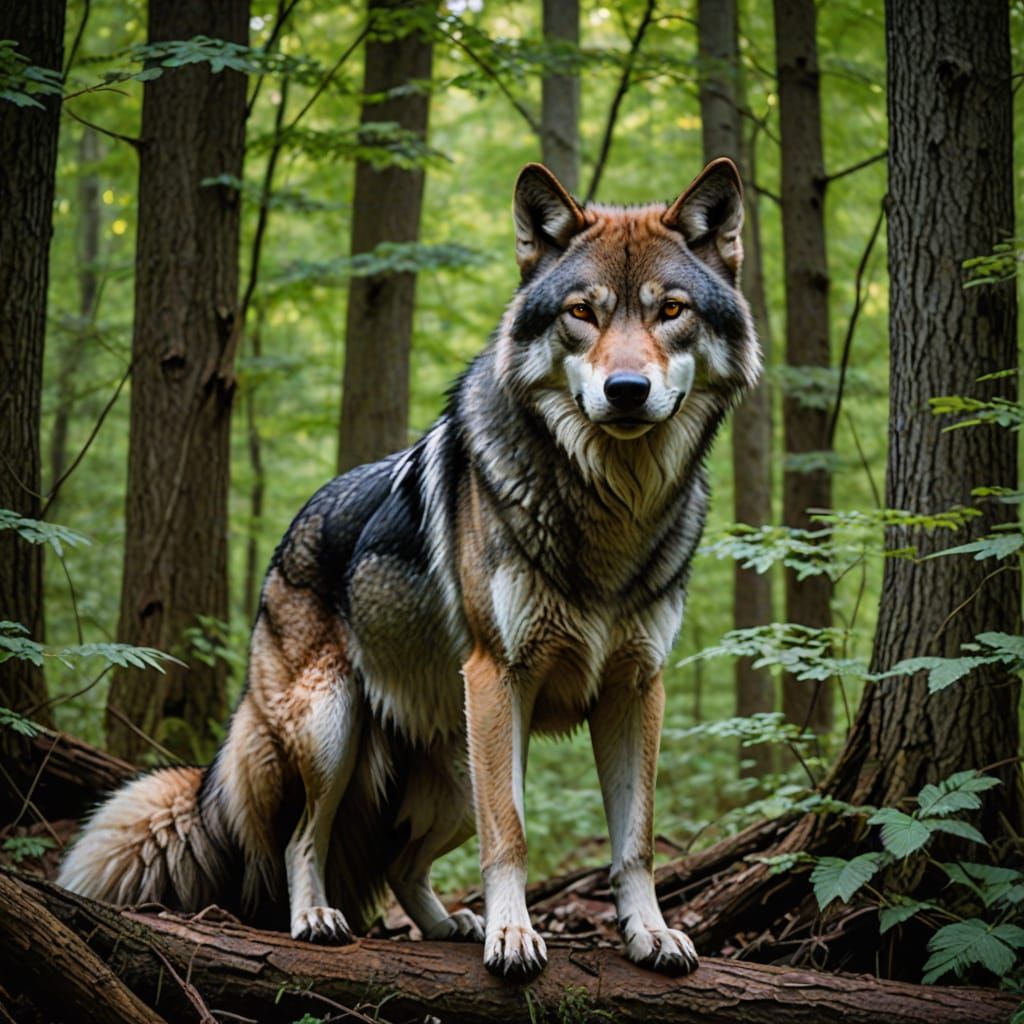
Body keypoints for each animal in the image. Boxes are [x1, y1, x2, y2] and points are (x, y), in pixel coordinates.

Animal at [59, 158, 759, 981]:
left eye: (670, 310)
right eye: (583, 313)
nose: (625, 391)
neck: (609, 508)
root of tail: (286, 542)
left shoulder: (636, 688)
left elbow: (636, 841)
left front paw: (649, 933)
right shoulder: (498, 676)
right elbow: (513, 835)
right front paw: (513, 936)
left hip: (456, 769)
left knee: (400, 862)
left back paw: (446, 925)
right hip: (337, 730)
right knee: (303, 838)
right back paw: (316, 918)